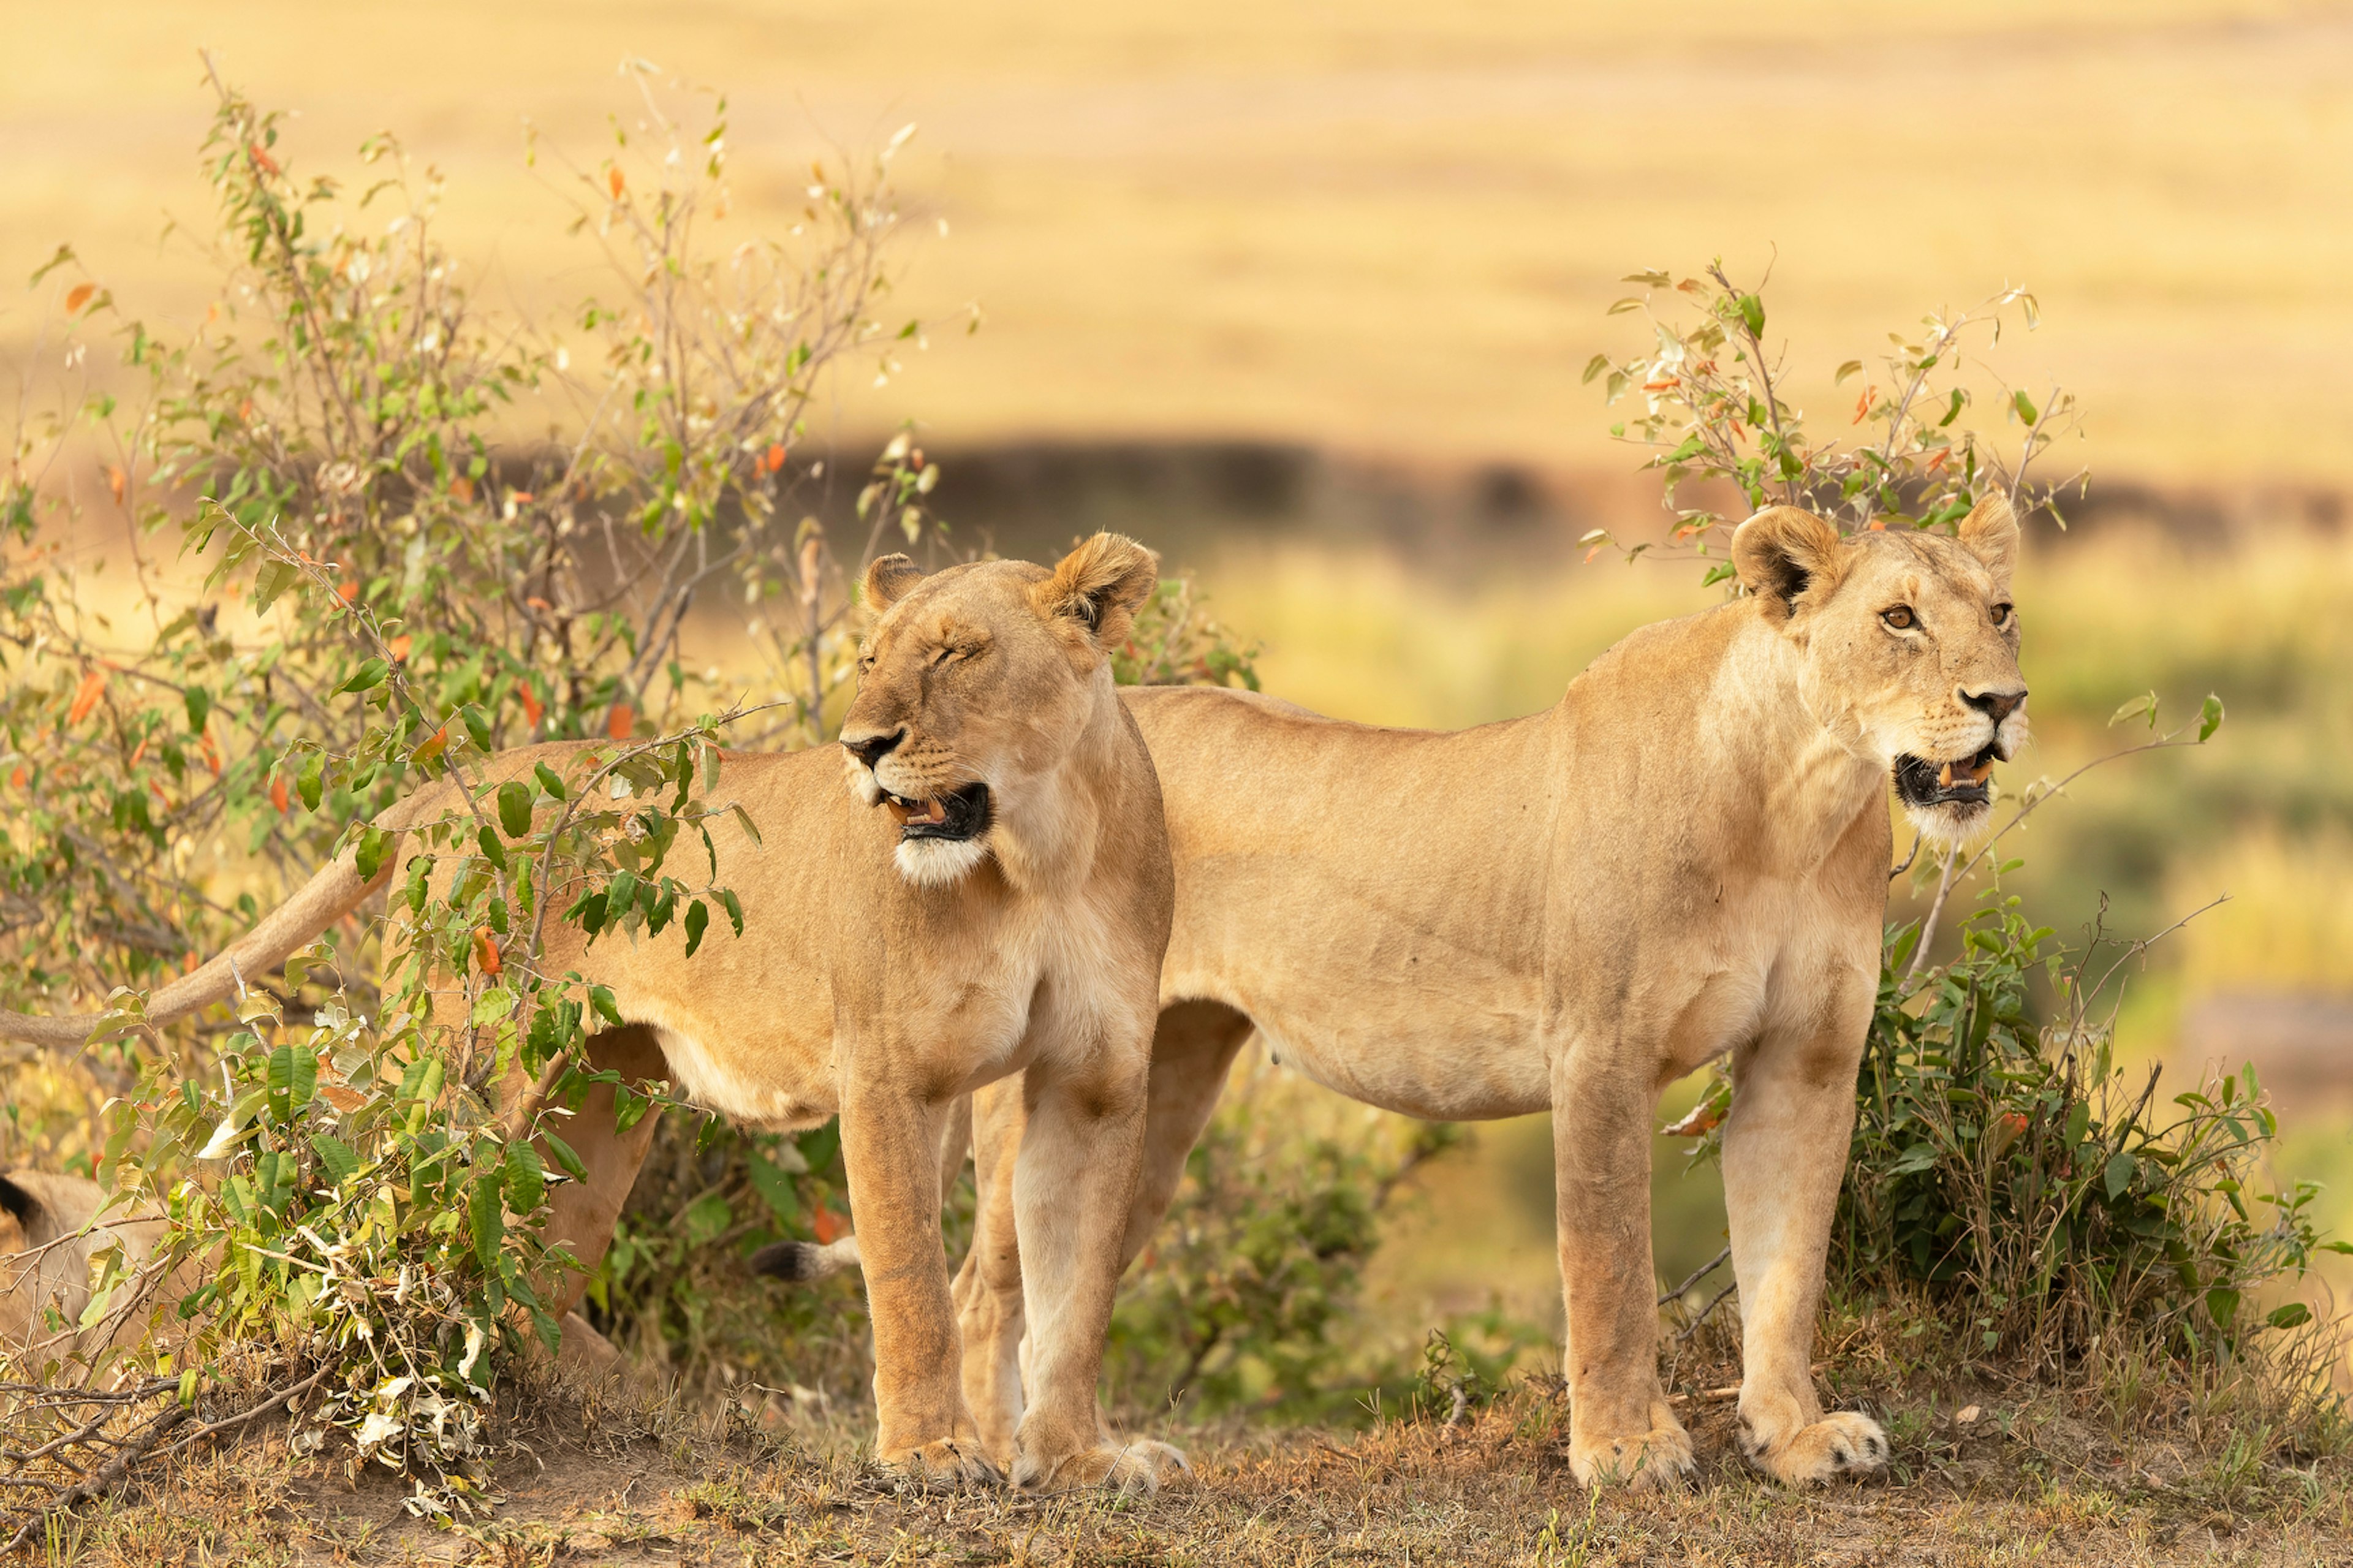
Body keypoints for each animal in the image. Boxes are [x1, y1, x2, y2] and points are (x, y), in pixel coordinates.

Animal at [0, 532, 1176, 1488]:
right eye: (869, 660)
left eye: (957, 653)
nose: (862, 747)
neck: (1037, 856)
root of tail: (461, 779)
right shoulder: (891, 1073)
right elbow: (911, 1280)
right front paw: (930, 1454)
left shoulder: (1098, 1084)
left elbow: (1076, 1294)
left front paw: (1081, 1456)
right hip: (462, 1064)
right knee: (345, 1182)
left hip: (600, 1100)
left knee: (538, 1272)